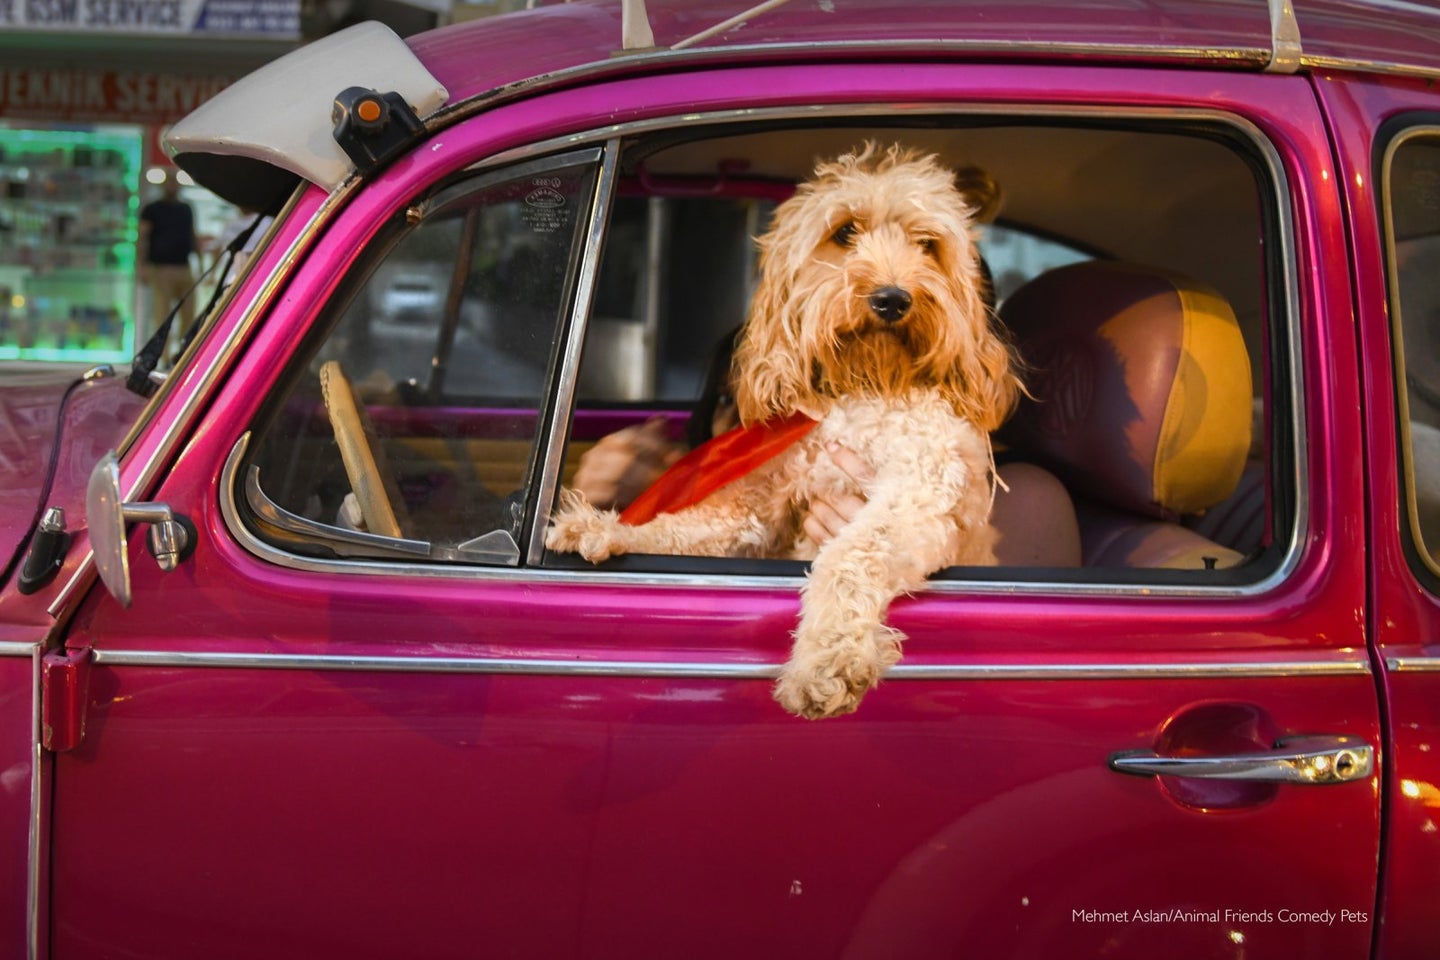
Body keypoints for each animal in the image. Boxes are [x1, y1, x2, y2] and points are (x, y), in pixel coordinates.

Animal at [544, 141, 1019, 713]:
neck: (864, 388)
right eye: (845, 232)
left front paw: (828, 662)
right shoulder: (762, 505)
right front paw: (605, 527)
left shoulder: (917, 496)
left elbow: (850, 556)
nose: (892, 298)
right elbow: (687, 526)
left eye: (928, 244)